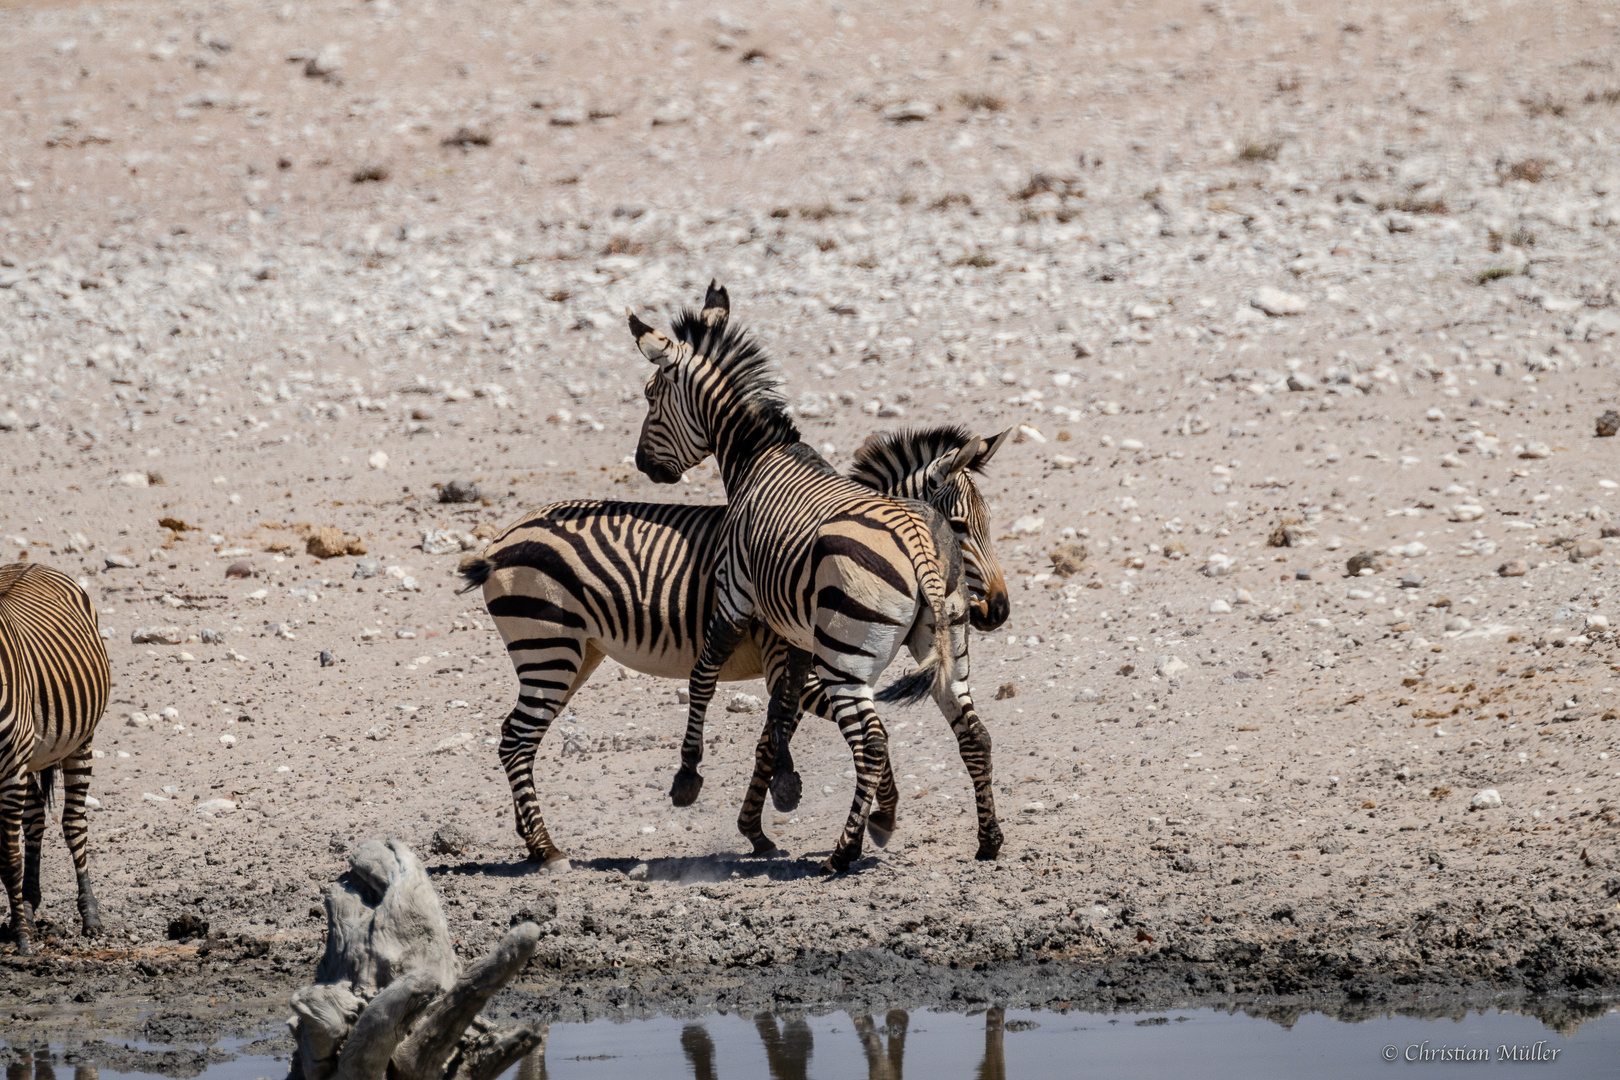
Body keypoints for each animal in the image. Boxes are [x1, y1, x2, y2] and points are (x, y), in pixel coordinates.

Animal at [0, 566, 110, 952]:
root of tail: (31, 564)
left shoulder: (10, 768)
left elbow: (9, 859)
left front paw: (22, 941)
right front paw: (22, 924)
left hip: (79, 742)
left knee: (73, 823)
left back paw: (90, 916)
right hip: (30, 758)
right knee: (34, 819)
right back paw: (29, 907)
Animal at [463, 420, 1004, 867]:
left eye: (987, 524)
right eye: (959, 527)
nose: (998, 611)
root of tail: (500, 540)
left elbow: (771, 738)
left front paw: (759, 828)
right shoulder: (796, 665)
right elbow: (783, 737)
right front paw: (850, 817)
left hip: (574, 655)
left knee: (517, 735)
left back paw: (530, 840)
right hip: (548, 648)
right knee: (517, 737)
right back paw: (547, 850)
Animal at [625, 283, 965, 874]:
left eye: (650, 395)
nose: (645, 465)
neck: (757, 455)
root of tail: (920, 546)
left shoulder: (735, 595)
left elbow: (704, 676)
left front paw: (688, 776)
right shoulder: (797, 626)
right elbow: (782, 699)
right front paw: (783, 784)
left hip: (847, 656)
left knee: (870, 742)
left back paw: (843, 853)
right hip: (932, 644)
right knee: (968, 731)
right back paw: (977, 840)